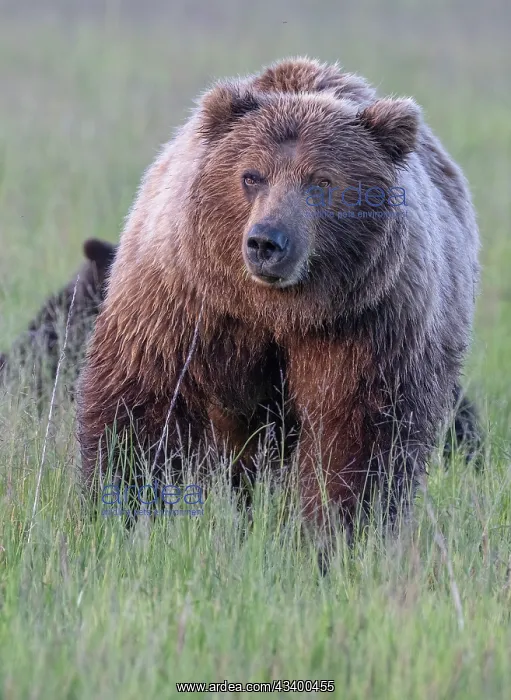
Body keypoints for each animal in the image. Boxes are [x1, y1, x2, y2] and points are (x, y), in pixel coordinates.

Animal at [77, 57, 480, 539]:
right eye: (251, 175)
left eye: (321, 181)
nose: (267, 242)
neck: (275, 310)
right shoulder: (182, 300)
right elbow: (140, 404)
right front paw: (116, 510)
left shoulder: (367, 320)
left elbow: (359, 430)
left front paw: (338, 529)